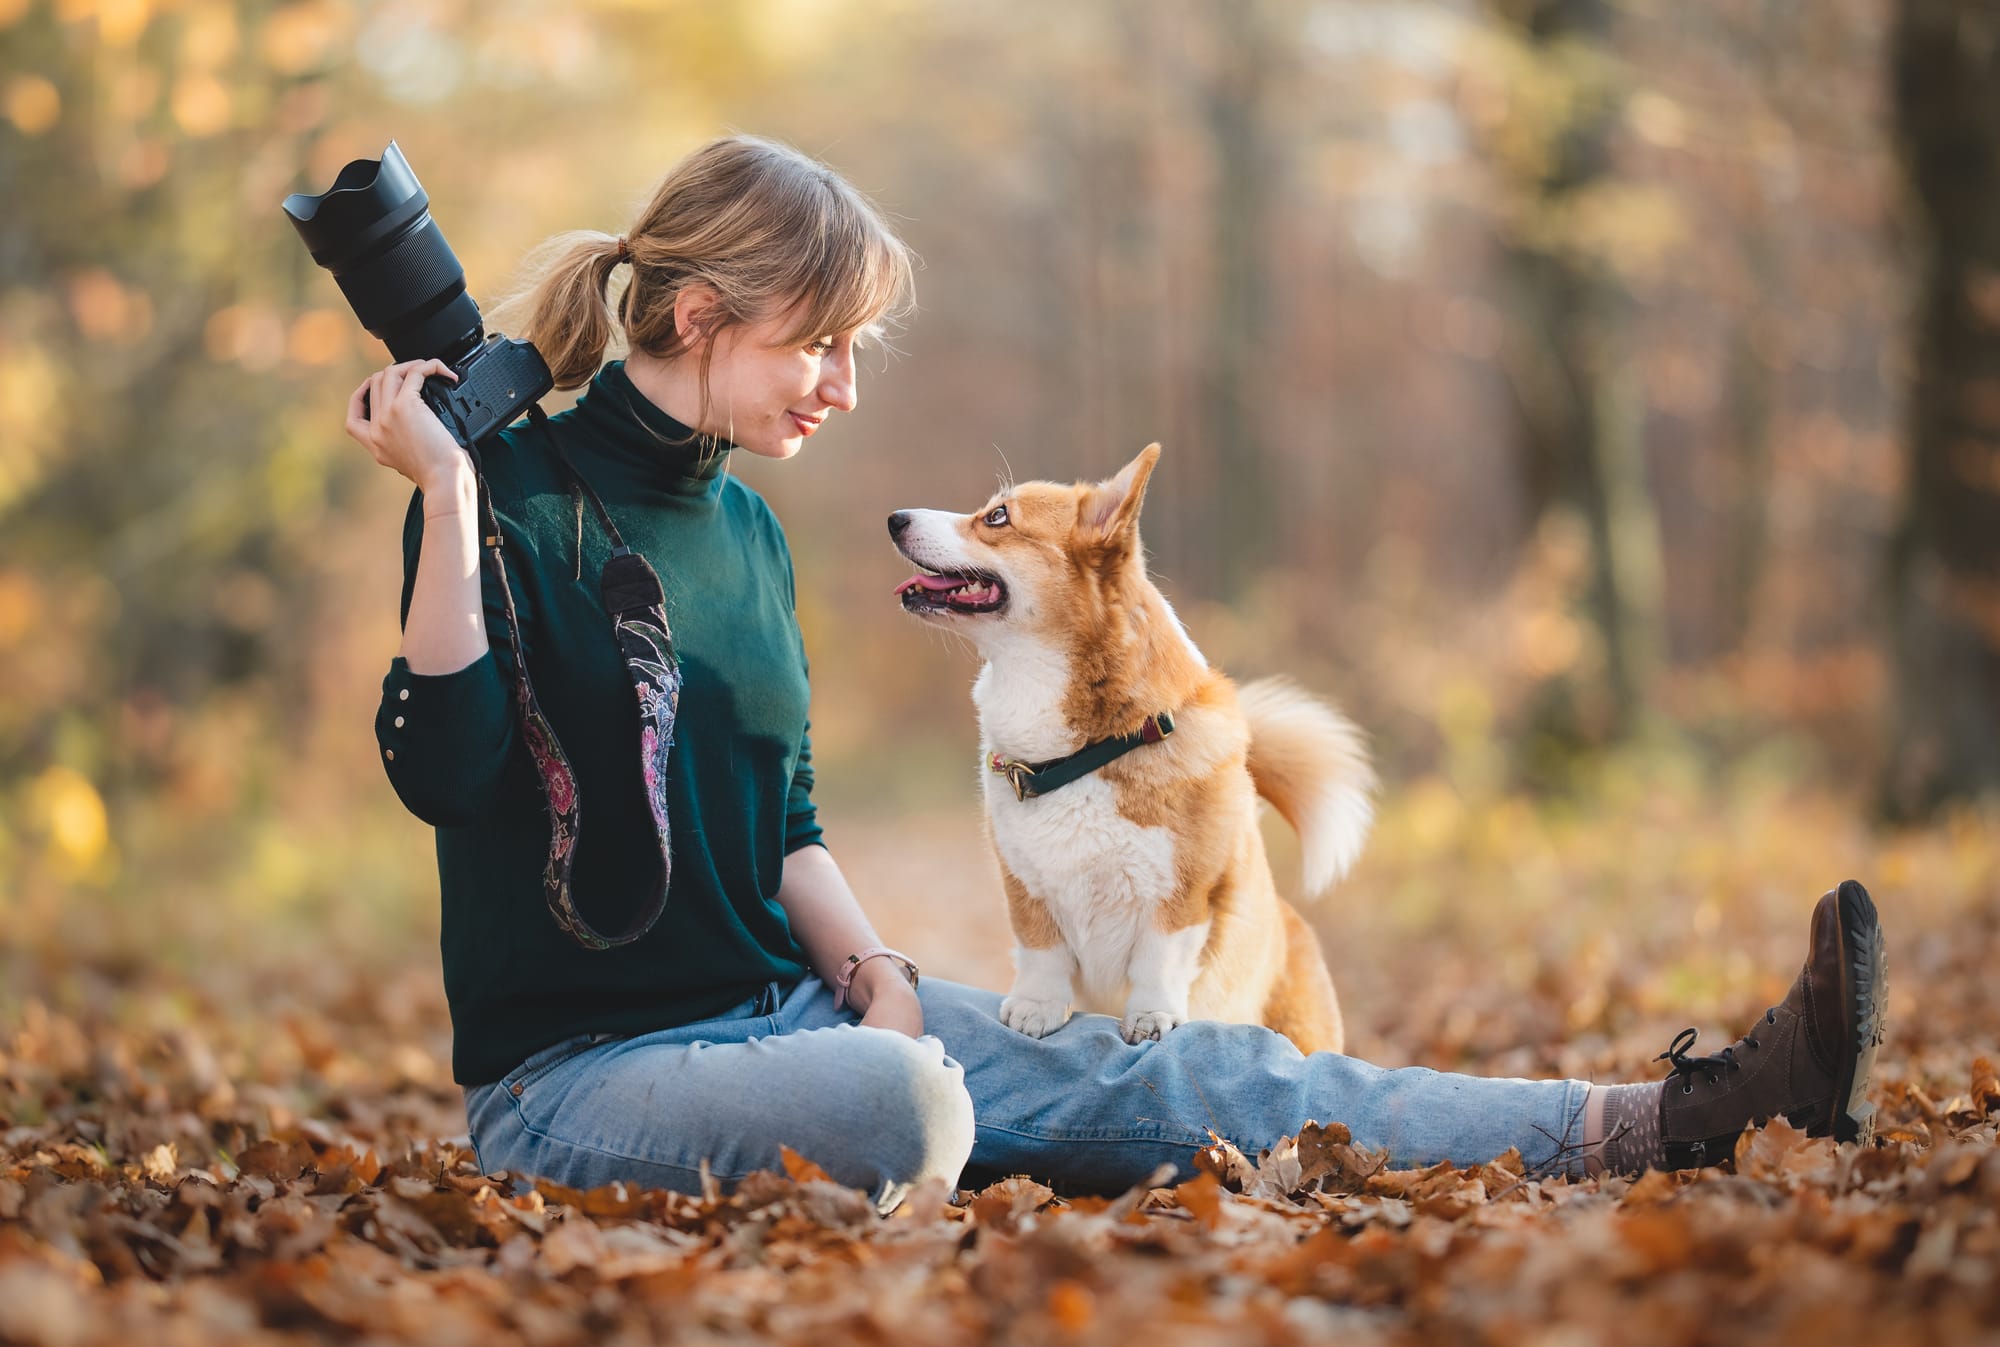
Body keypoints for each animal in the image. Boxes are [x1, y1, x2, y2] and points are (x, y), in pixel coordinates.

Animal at [892, 439, 1376, 1047]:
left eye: (997, 517)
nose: (894, 518)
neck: (1079, 755)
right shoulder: (1025, 887)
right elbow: (1040, 952)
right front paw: (1036, 1009)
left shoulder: (1183, 896)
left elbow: (1158, 961)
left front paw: (1151, 1018)